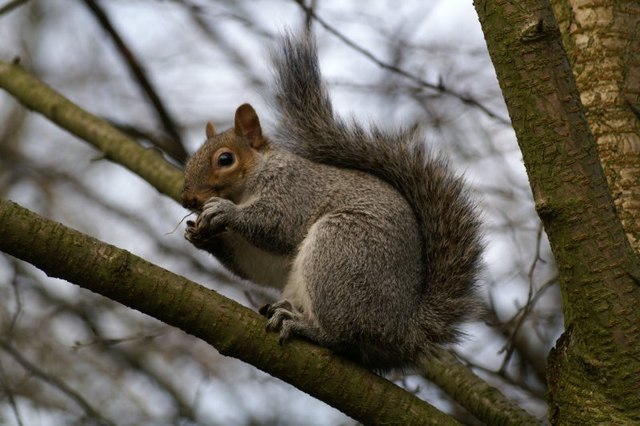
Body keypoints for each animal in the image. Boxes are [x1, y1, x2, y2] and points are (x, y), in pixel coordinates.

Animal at [181, 32, 483, 371]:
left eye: (225, 159)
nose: (187, 197)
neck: (255, 178)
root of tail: (401, 332)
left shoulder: (294, 189)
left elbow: (276, 224)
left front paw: (224, 211)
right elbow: (262, 264)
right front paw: (203, 237)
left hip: (341, 249)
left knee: (343, 337)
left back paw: (307, 327)